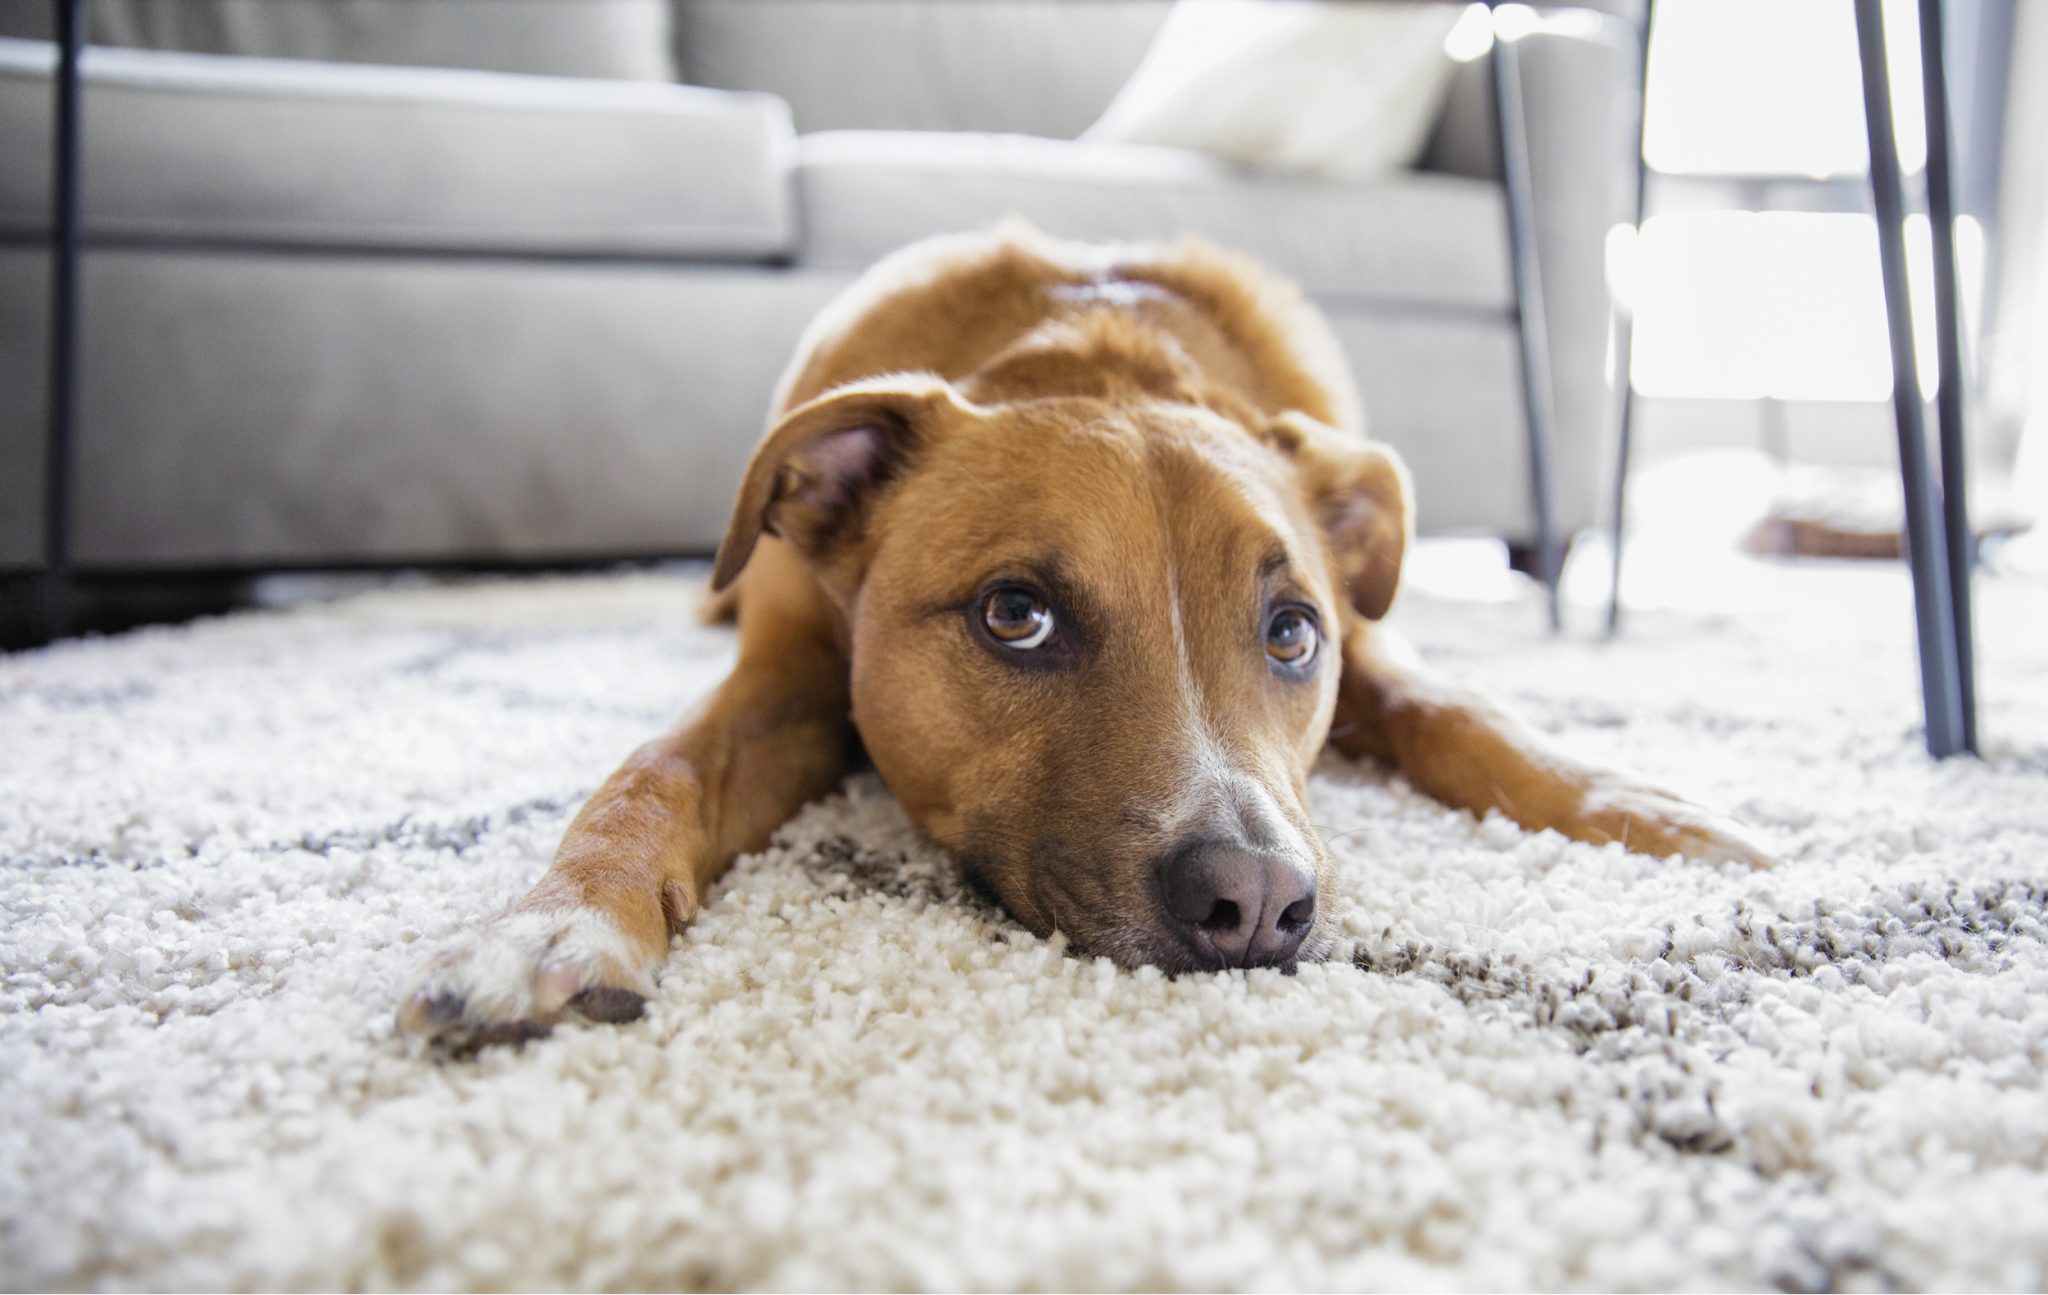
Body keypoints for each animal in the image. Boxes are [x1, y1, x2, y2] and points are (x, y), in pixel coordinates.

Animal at [403, 225, 1777, 1049]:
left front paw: (1642, 809)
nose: (1257, 901)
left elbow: (1468, 711)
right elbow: (655, 770)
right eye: (1015, 615)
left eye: (1291, 632)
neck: (1097, 361)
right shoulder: (785, 674)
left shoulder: (1375, 646)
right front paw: (555, 924)